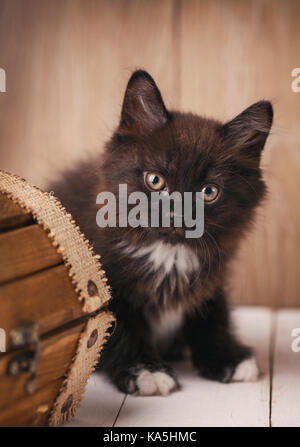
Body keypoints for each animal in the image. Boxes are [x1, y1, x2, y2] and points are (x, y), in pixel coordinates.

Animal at [50, 69, 274, 396]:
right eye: (155, 180)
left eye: (209, 192)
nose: (178, 214)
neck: (169, 253)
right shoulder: (105, 285)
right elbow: (119, 329)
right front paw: (146, 370)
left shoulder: (213, 280)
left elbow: (211, 315)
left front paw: (227, 356)